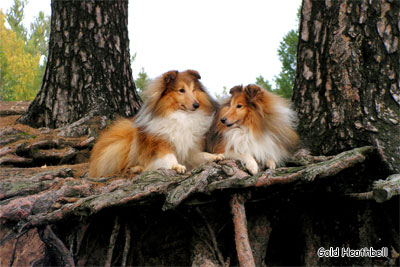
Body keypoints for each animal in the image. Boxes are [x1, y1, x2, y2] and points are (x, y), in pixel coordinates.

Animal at [88, 69, 223, 178]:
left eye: (193, 90)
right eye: (181, 90)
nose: (196, 105)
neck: (180, 115)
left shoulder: (190, 150)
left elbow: (202, 155)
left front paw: (215, 156)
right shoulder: (160, 144)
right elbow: (169, 157)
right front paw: (177, 166)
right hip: (124, 143)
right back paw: (137, 168)